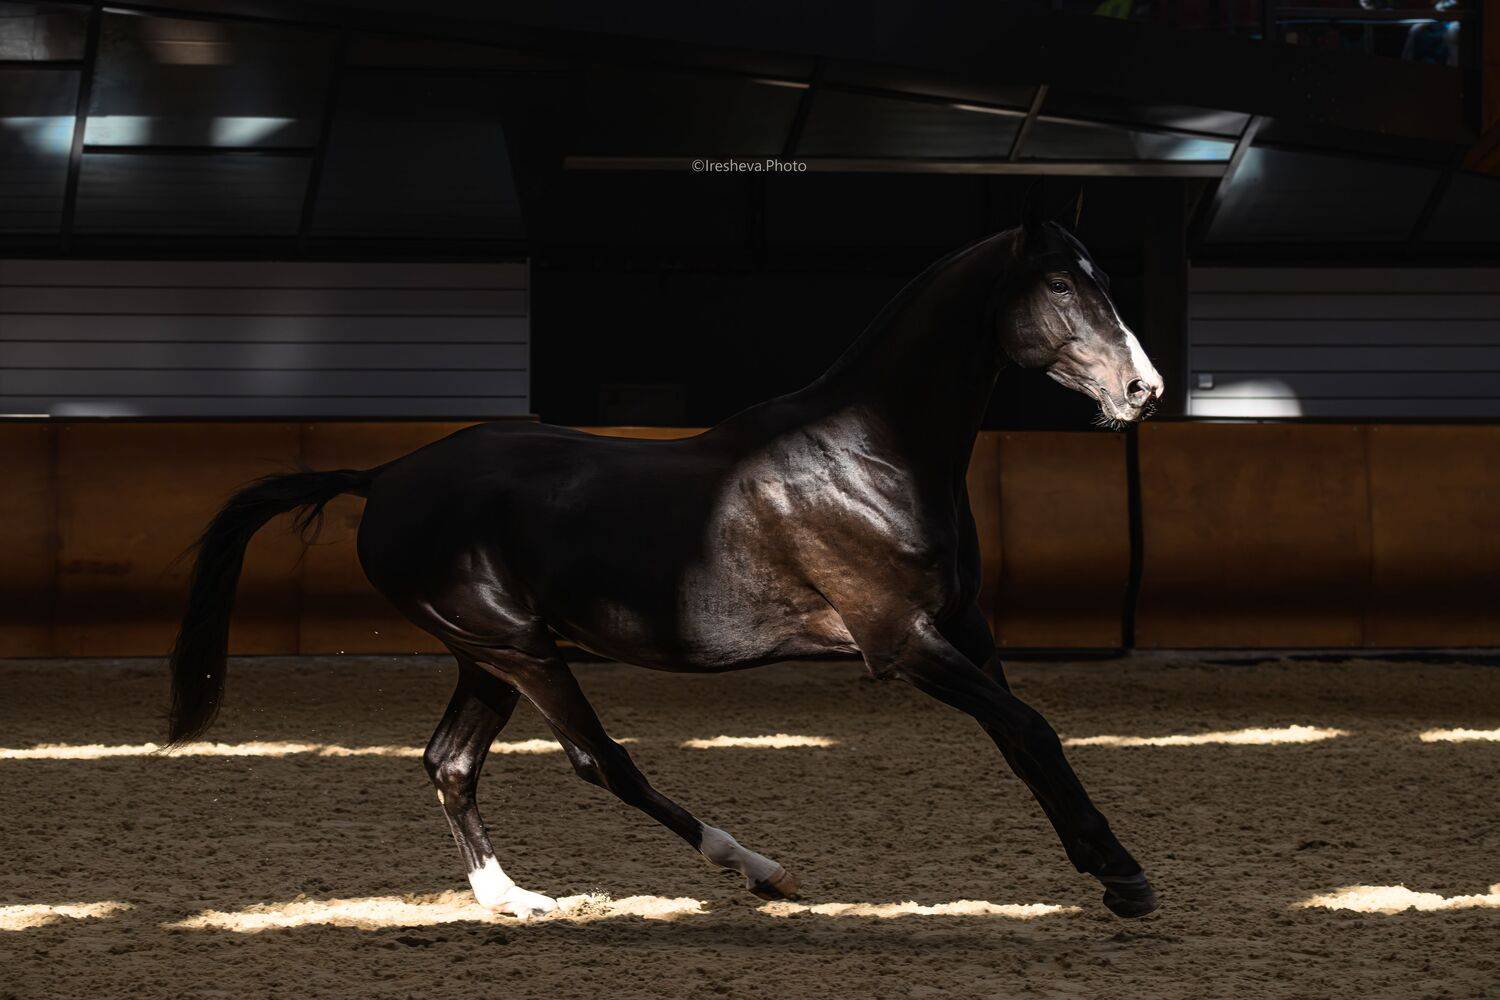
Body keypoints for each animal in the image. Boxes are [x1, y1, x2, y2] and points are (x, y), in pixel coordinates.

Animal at [166, 196, 1165, 922]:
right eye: (1061, 287)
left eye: (1103, 281)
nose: (1143, 391)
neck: (871, 454)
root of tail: (384, 478)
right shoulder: (903, 644)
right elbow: (1033, 729)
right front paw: (1126, 877)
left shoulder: (968, 634)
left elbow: (1023, 740)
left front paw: (1107, 869)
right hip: (519, 649)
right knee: (600, 761)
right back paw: (758, 869)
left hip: (486, 657)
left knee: (450, 763)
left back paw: (513, 900)